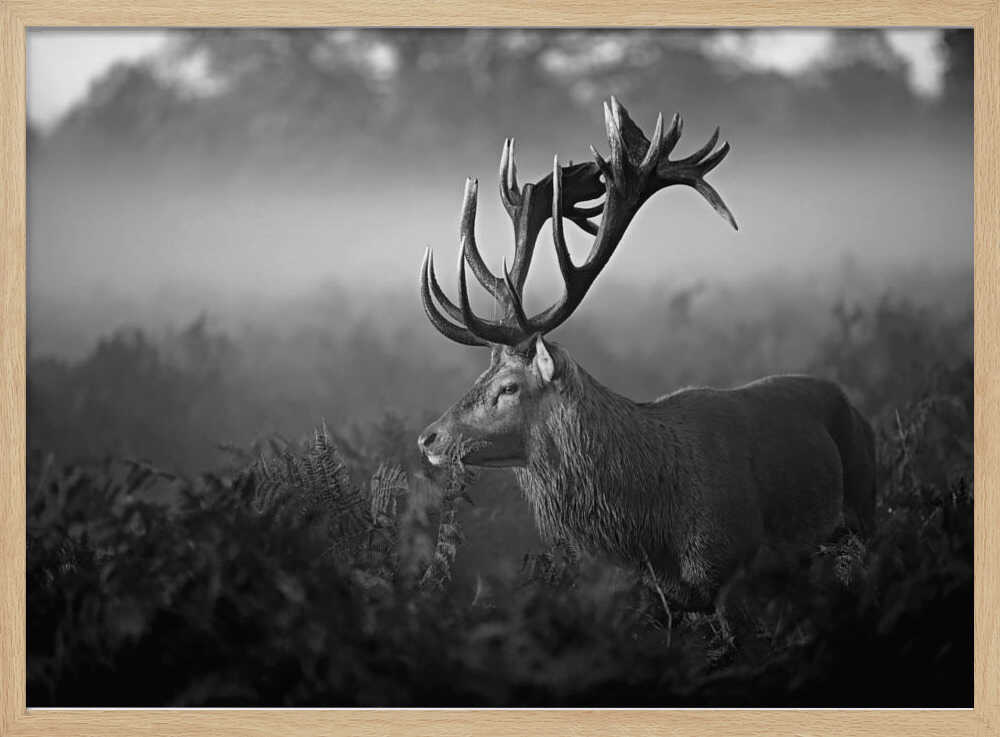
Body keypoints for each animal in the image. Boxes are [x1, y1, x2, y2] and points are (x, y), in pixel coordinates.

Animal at [417, 97, 877, 613]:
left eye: (509, 387)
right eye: (481, 376)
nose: (428, 438)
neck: (657, 530)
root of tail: (858, 410)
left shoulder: (728, 570)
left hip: (866, 508)